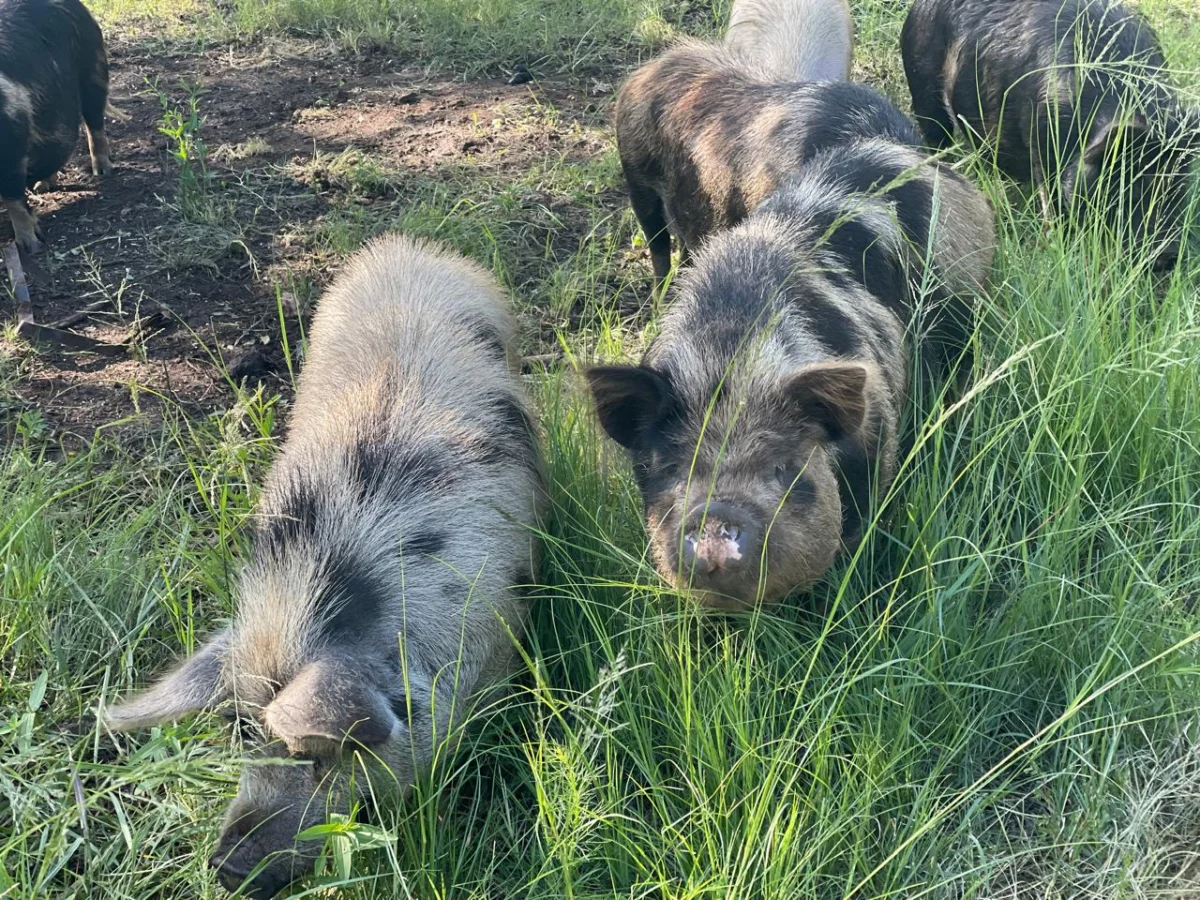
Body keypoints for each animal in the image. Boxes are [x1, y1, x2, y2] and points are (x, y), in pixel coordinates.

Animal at [0, 0, 122, 253]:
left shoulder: (11, 145)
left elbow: (13, 197)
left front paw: (29, 246)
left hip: (94, 69)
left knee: (94, 124)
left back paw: (102, 171)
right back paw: (41, 187)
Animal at [588, 139, 994, 610]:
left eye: (783, 467)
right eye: (672, 468)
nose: (715, 520)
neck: (729, 364)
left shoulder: (875, 446)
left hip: (968, 298)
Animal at [901, 0, 1199, 269]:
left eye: (1179, 185)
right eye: (1134, 187)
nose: (1169, 257)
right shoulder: (1043, 146)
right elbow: (1053, 203)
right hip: (923, 88)